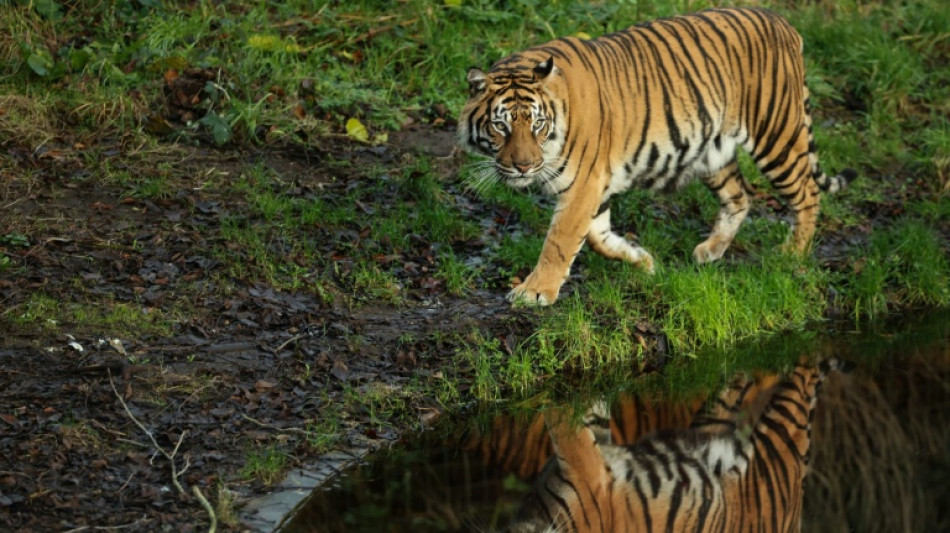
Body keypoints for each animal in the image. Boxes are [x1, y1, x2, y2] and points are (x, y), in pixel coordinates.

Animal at [458, 7, 857, 305]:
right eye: (501, 127)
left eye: (537, 124)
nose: (523, 166)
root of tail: (783, 21)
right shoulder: (594, 186)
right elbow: (598, 237)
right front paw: (643, 260)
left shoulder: (584, 182)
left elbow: (560, 240)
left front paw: (535, 292)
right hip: (712, 150)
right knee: (740, 196)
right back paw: (710, 250)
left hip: (776, 134)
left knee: (807, 193)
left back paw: (793, 253)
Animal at [503, 359, 849, 533]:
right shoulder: (590, 468)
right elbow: (568, 417)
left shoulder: (589, 465)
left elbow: (568, 412)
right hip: (775, 437)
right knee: (798, 378)